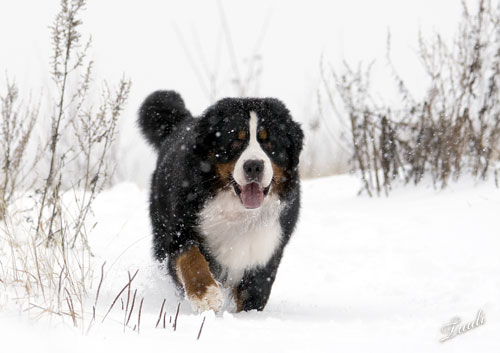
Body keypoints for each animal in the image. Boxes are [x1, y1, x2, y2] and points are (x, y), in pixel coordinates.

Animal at [138, 91, 304, 310]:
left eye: (270, 143)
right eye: (235, 142)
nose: (254, 166)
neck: (237, 212)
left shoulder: (265, 248)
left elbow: (254, 292)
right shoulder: (180, 230)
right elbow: (191, 257)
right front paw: (205, 295)